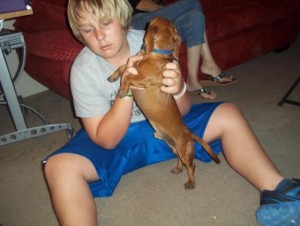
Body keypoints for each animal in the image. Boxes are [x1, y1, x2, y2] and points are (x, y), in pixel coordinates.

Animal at [108, 16, 220, 189]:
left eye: (150, 22)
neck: (155, 55)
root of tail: (188, 132)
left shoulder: (141, 79)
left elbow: (127, 76)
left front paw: (122, 90)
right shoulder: (131, 65)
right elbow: (123, 67)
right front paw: (113, 76)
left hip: (183, 150)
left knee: (191, 165)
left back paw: (190, 182)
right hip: (173, 148)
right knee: (180, 160)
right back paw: (178, 169)